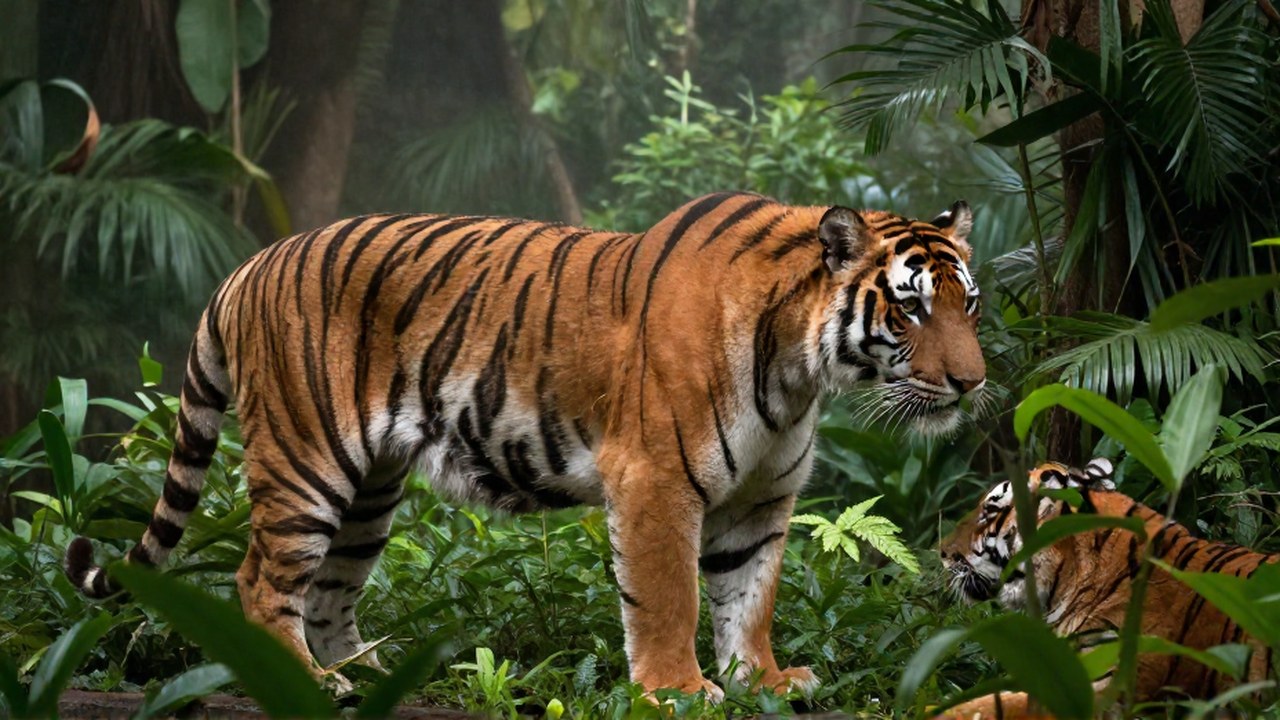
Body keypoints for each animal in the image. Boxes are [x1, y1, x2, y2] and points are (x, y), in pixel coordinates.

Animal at [64, 191, 986, 699]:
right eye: (909, 308)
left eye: (967, 304)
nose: (974, 383)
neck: (797, 369)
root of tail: (246, 267)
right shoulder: (655, 481)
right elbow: (672, 599)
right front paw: (679, 690)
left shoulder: (761, 499)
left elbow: (748, 596)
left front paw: (762, 679)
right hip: (305, 463)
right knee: (260, 583)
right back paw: (311, 683)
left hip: (369, 491)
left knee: (327, 593)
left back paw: (372, 673)